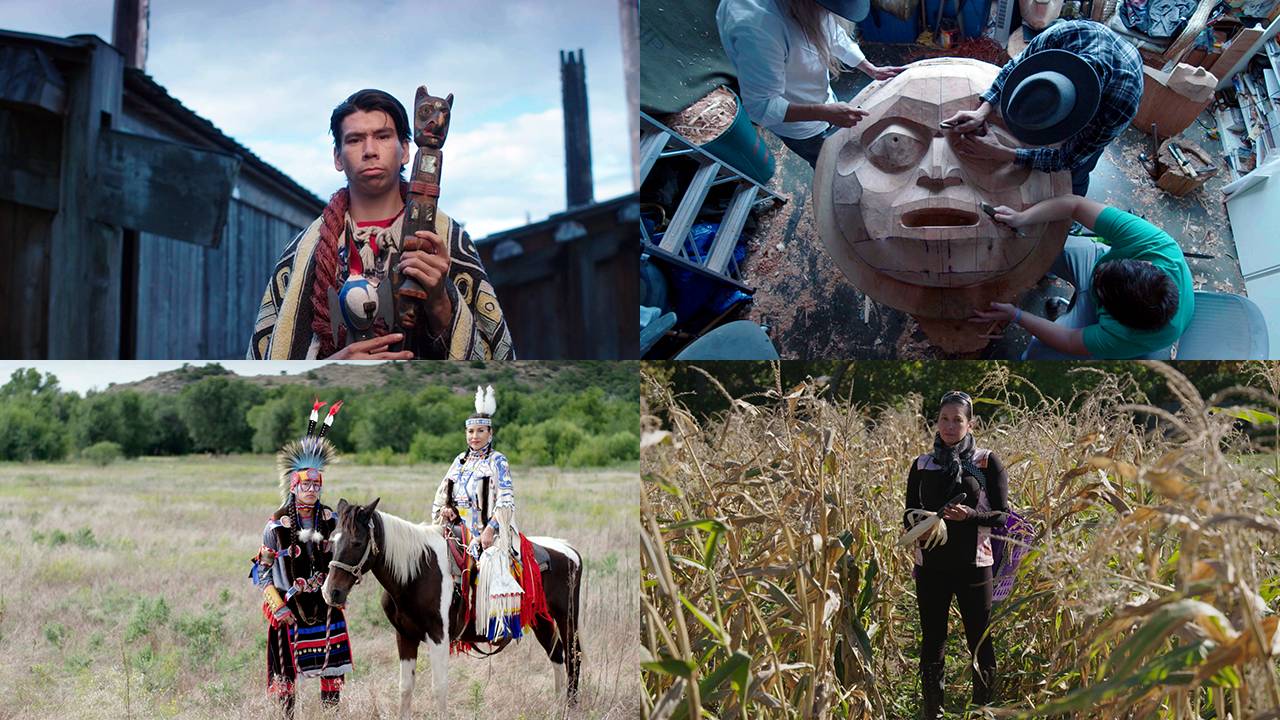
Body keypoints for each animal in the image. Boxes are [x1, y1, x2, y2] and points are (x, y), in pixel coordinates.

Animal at [322, 497, 583, 712]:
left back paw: (570, 707)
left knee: (573, 656)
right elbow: (405, 688)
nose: (331, 592)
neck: (417, 571)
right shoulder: (404, 636)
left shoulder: (438, 636)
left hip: (567, 618)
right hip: (542, 620)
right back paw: (558, 706)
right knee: (557, 655)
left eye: (357, 542)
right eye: (331, 540)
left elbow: (439, 688)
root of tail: (569, 550)